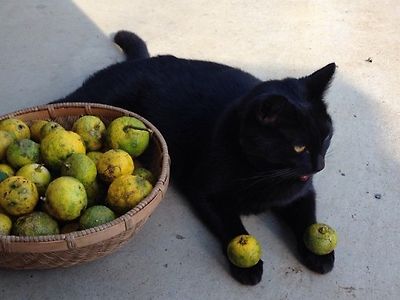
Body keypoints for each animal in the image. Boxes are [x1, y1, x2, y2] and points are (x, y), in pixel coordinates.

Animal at [51, 31, 336, 286]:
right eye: (299, 147)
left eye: (326, 137)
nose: (320, 165)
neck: (263, 173)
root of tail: (142, 60)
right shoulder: (206, 192)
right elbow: (230, 224)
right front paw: (247, 266)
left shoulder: (302, 194)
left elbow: (307, 219)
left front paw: (319, 253)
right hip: (97, 96)